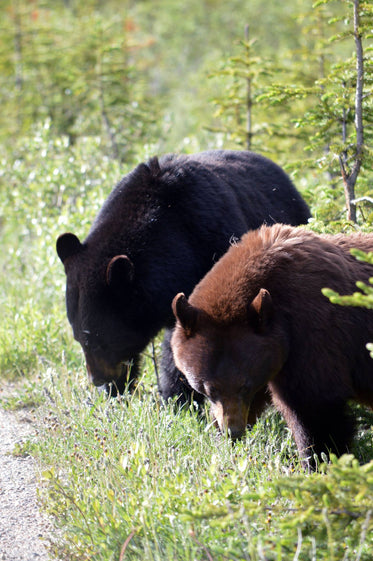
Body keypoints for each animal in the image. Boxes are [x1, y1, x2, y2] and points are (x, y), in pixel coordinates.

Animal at [172, 221, 373, 466]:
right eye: (208, 389)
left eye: (244, 385)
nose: (233, 432)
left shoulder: (313, 335)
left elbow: (315, 409)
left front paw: (318, 460)